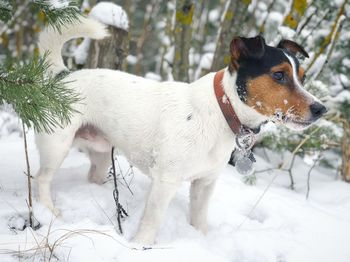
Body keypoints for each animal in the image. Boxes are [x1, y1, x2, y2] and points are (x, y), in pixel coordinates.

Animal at [35, 17, 326, 245]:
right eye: (279, 75)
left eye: (303, 77)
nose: (320, 109)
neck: (221, 110)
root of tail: (63, 76)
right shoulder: (166, 181)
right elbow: (152, 220)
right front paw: (140, 246)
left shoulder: (204, 184)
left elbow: (198, 218)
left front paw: (201, 241)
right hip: (56, 145)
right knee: (42, 179)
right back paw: (49, 210)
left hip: (102, 153)